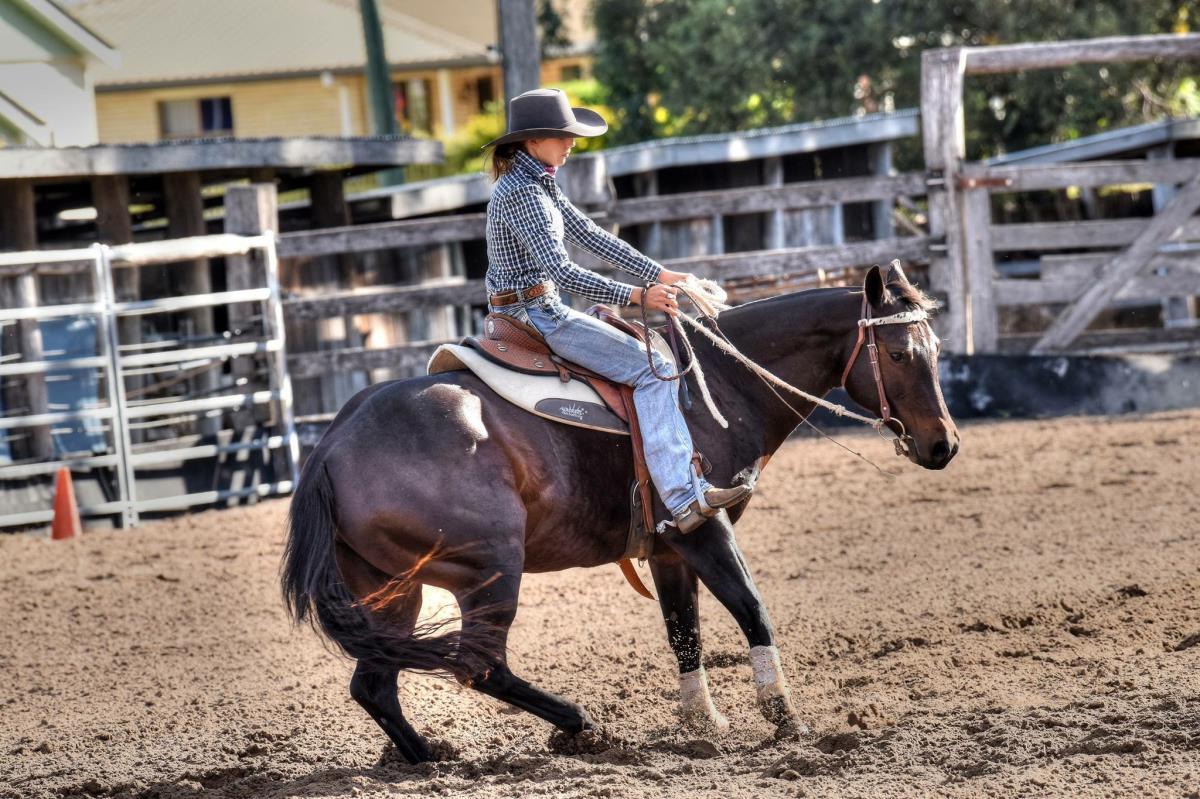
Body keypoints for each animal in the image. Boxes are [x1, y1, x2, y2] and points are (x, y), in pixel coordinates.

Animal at [281, 262, 959, 763]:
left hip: (392, 590)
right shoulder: (703, 528)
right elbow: (752, 608)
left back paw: (428, 756)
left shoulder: (668, 547)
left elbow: (684, 631)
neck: (714, 389)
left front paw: (701, 723)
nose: (943, 445)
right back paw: (579, 725)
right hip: (490, 569)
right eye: (900, 354)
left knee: (375, 683)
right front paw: (783, 715)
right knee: (479, 665)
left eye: (935, 347)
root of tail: (330, 447)